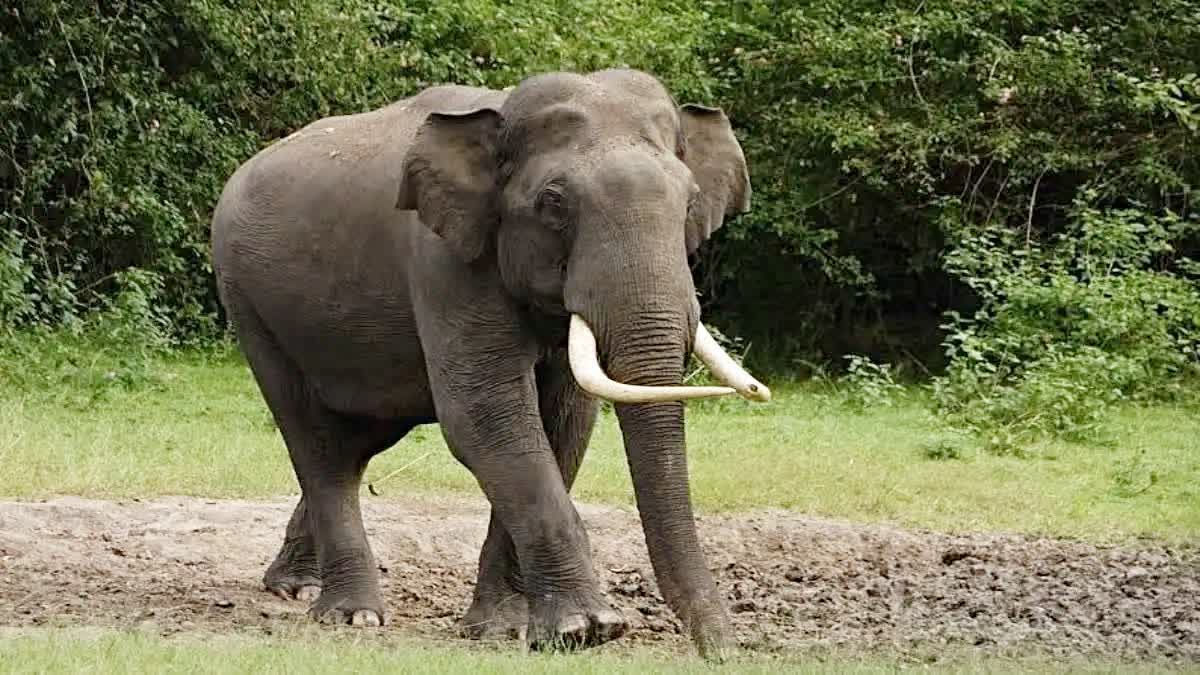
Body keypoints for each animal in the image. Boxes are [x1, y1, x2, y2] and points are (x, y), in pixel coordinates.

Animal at [208, 65, 768, 653]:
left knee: (360, 439)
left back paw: (295, 586)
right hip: (248, 302)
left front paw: (505, 627)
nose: (725, 649)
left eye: (690, 201)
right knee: (317, 443)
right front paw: (586, 629)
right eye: (553, 203)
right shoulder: (445, 261)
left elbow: (563, 424)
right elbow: (488, 417)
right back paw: (350, 614)